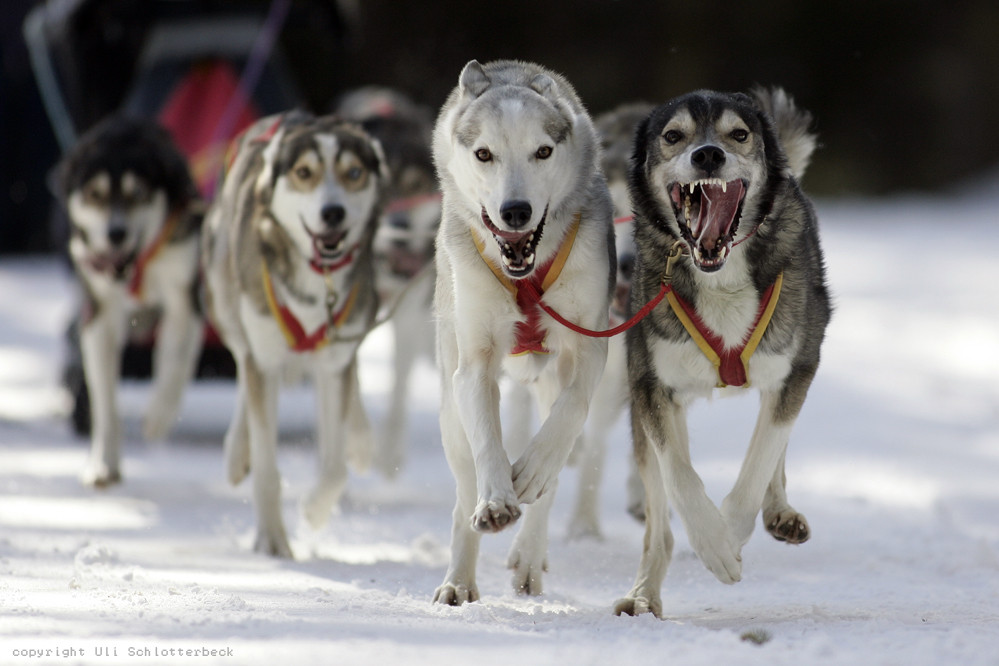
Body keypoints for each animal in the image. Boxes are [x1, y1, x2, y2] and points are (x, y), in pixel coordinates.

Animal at [203, 110, 390, 556]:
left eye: (354, 173)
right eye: (304, 173)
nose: (333, 212)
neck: (317, 280)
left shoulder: (334, 361)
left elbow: (335, 469)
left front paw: (314, 511)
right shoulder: (264, 356)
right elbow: (266, 469)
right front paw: (271, 539)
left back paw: (360, 439)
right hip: (224, 298)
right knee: (242, 363)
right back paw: (237, 451)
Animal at [612, 89, 832, 616]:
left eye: (740, 134)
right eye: (674, 135)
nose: (708, 154)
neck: (720, 275)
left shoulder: (797, 368)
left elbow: (759, 460)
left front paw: (730, 535)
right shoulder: (652, 386)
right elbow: (679, 476)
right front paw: (713, 543)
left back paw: (778, 509)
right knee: (659, 517)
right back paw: (644, 593)